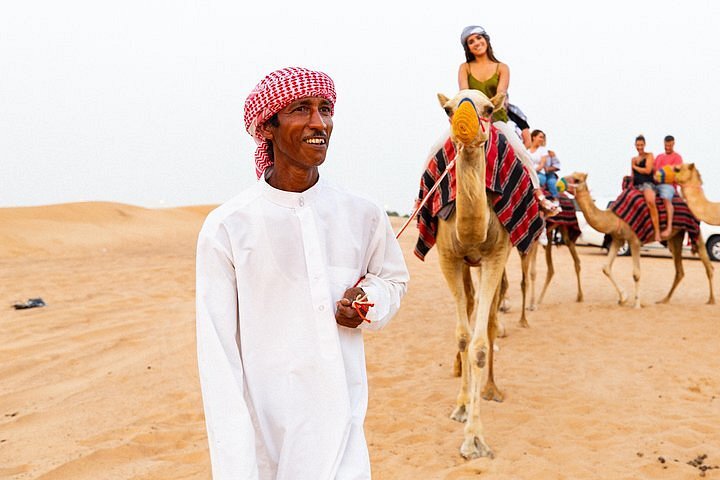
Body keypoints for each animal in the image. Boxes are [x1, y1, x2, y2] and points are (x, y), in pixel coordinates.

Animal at [568, 172, 716, 308]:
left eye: (577, 179)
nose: (563, 182)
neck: (614, 218)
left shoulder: (635, 240)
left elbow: (636, 274)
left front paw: (637, 304)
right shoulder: (617, 239)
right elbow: (606, 268)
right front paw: (623, 298)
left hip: (693, 230)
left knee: (706, 264)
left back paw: (711, 300)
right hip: (675, 237)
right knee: (680, 271)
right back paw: (664, 300)